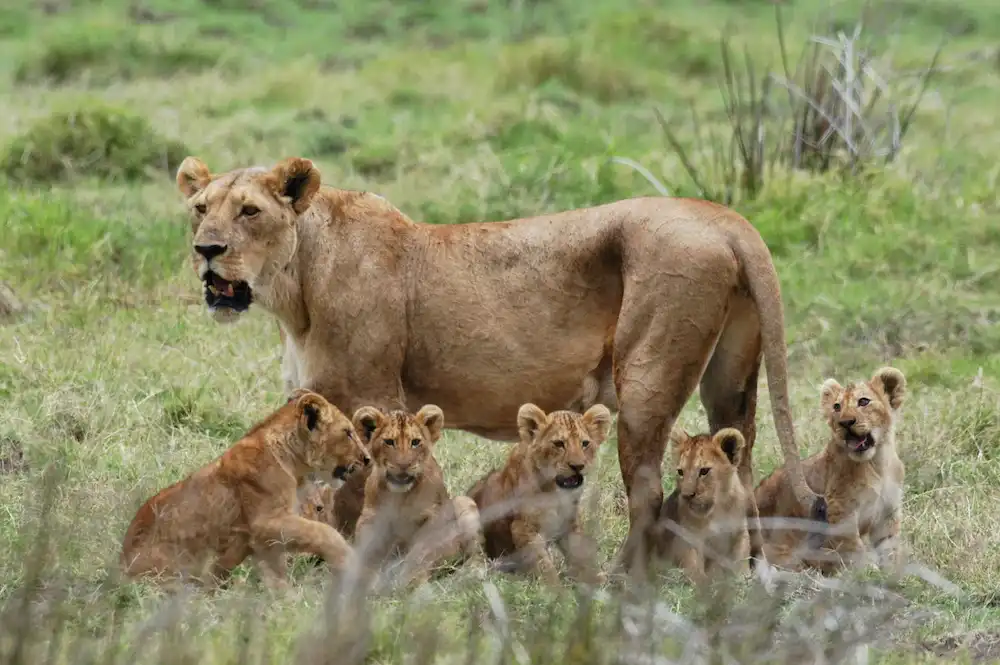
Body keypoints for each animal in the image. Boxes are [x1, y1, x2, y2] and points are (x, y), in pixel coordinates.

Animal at [119, 389, 371, 588]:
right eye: (348, 433)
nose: (367, 458)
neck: (295, 466)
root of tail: (119, 571)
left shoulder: (263, 541)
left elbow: (277, 576)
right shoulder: (265, 522)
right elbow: (323, 531)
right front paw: (350, 560)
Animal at [351, 405, 484, 587]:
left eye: (415, 442)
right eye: (389, 442)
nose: (404, 465)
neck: (399, 497)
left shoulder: (434, 518)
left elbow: (420, 553)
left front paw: (412, 582)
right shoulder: (369, 519)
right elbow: (367, 556)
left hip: (463, 503)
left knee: (476, 553)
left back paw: (471, 573)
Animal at [467, 403, 612, 585]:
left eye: (585, 443)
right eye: (559, 444)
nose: (578, 466)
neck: (556, 493)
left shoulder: (569, 522)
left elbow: (579, 554)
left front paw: (594, 579)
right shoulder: (522, 528)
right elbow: (543, 564)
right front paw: (555, 589)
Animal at [651, 429, 750, 585]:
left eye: (704, 471)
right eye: (681, 472)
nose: (687, 495)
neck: (717, 508)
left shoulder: (740, 532)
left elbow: (742, 560)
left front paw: (745, 581)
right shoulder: (687, 539)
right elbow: (696, 572)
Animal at [754, 367, 907, 574]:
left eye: (864, 401)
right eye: (836, 407)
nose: (846, 422)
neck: (877, 462)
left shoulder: (887, 513)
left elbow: (889, 548)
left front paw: (893, 573)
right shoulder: (839, 509)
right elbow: (854, 548)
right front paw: (868, 573)